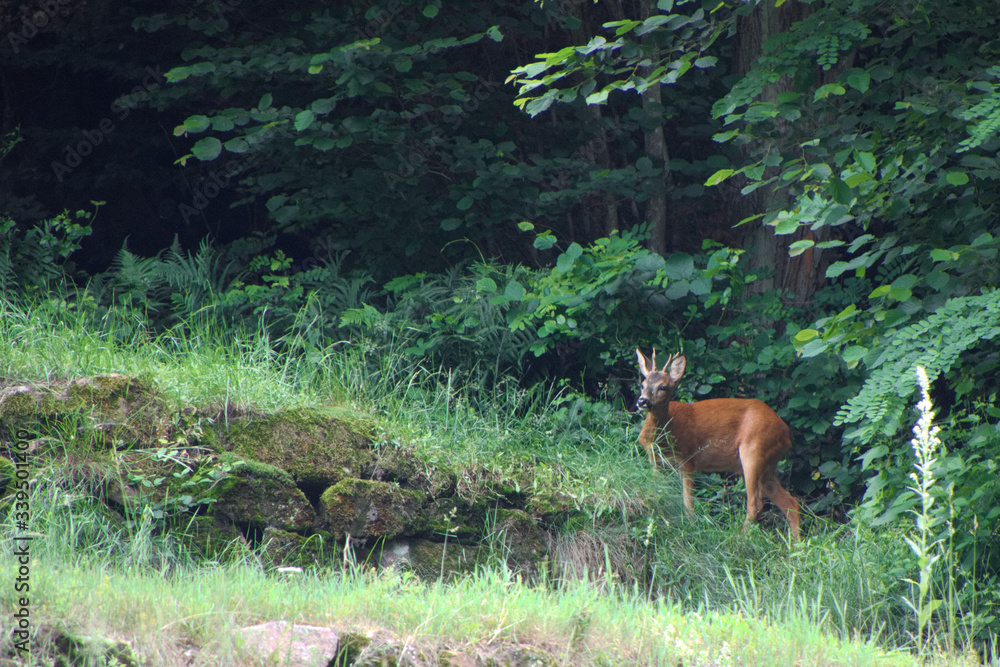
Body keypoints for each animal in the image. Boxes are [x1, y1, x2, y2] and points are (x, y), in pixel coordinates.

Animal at [636, 348, 800, 540]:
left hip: (754, 450)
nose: (642, 401)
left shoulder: (688, 458)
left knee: (756, 505)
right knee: (791, 503)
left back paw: (739, 539)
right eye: (643, 384)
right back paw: (796, 544)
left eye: (663, 387)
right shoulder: (655, 461)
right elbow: (655, 492)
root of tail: (786, 432)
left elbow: (688, 503)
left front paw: (691, 528)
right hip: (766, 464)